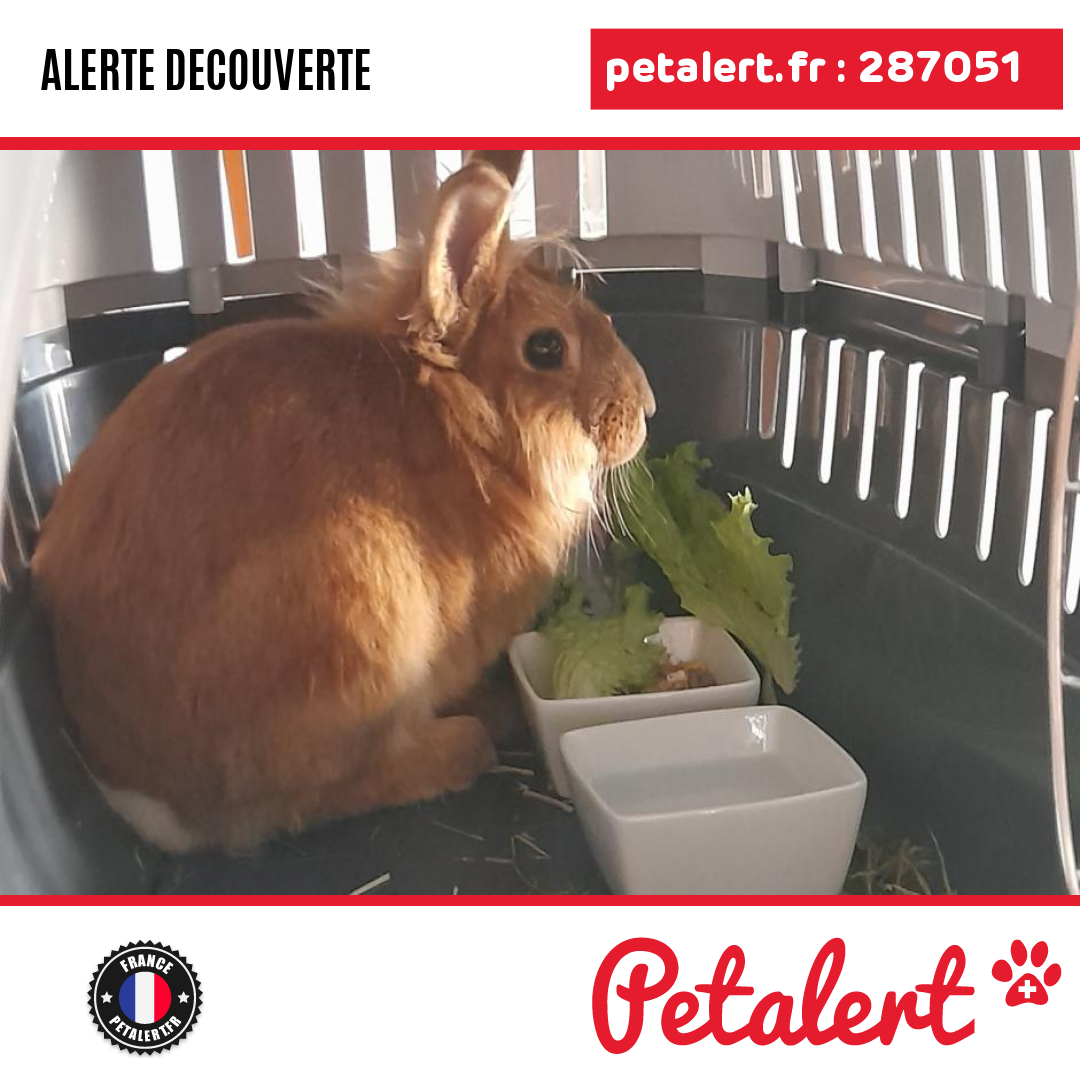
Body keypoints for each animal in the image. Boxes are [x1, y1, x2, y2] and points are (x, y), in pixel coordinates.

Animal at [31, 149, 656, 853]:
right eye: (546, 347)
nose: (645, 410)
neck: (468, 422)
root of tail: (151, 799)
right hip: (358, 615)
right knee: (324, 791)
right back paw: (470, 739)